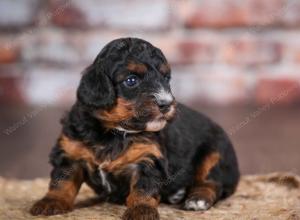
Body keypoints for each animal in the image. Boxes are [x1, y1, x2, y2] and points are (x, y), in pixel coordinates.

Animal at [30, 38, 240, 220]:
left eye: (166, 78)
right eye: (131, 80)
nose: (166, 103)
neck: (115, 132)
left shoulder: (148, 159)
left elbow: (143, 188)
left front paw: (141, 210)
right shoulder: (71, 152)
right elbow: (61, 181)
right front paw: (50, 202)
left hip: (216, 153)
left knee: (212, 182)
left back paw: (197, 199)